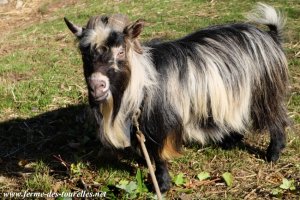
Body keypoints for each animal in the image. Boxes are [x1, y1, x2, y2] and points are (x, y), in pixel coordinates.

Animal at [64, 3, 290, 192]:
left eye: (121, 52)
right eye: (85, 54)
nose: (97, 86)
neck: (142, 81)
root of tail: (270, 36)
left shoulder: (160, 124)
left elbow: (159, 156)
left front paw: (162, 185)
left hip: (265, 92)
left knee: (276, 119)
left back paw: (273, 154)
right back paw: (231, 141)